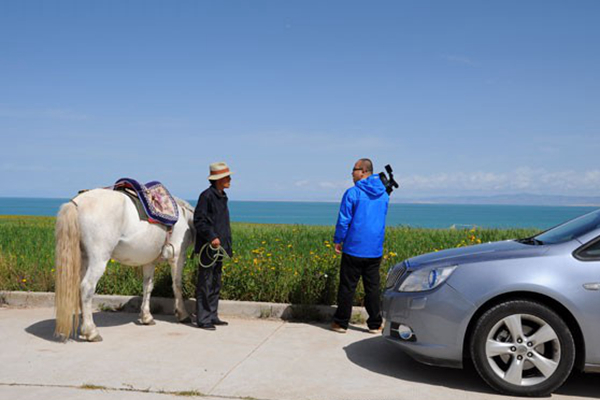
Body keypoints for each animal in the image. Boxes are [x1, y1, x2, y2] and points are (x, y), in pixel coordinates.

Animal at [53, 188, 195, 340]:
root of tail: (75, 203)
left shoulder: (149, 262)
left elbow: (148, 287)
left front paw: (146, 317)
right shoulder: (178, 257)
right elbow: (177, 285)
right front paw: (182, 314)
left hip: (83, 259)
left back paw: (83, 328)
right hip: (98, 259)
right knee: (86, 288)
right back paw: (91, 331)